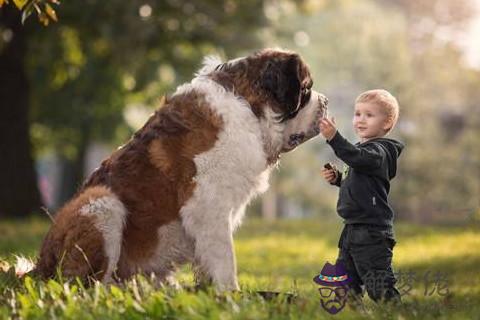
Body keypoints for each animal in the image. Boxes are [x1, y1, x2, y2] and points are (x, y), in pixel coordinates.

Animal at [35, 48, 328, 292]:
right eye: (306, 90)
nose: (325, 101)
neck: (248, 106)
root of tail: (38, 267)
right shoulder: (208, 207)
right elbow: (225, 259)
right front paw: (232, 298)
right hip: (102, 202)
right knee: (86, 287)